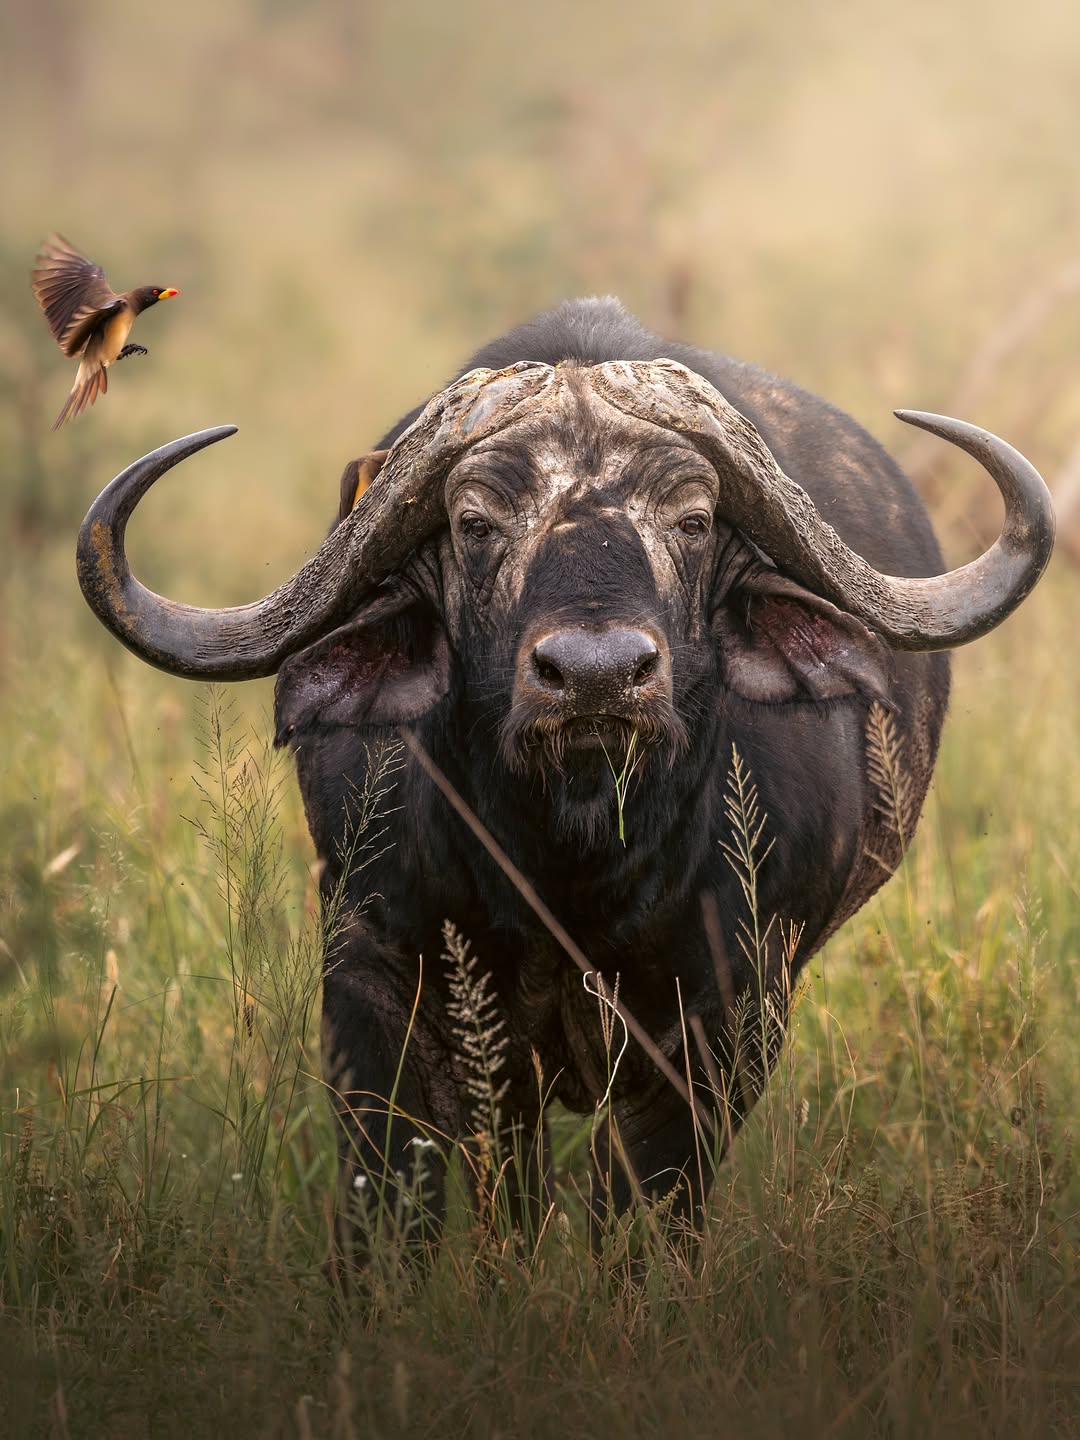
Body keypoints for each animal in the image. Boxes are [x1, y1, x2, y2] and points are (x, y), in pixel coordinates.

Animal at [76, 297, 1054, 1239]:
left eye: (694, 521)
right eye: (474, 523)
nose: (596, 675)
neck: (570, 862)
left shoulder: (726, 1019)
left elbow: (642, 1219)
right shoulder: (370, 980)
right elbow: (390, 1203)